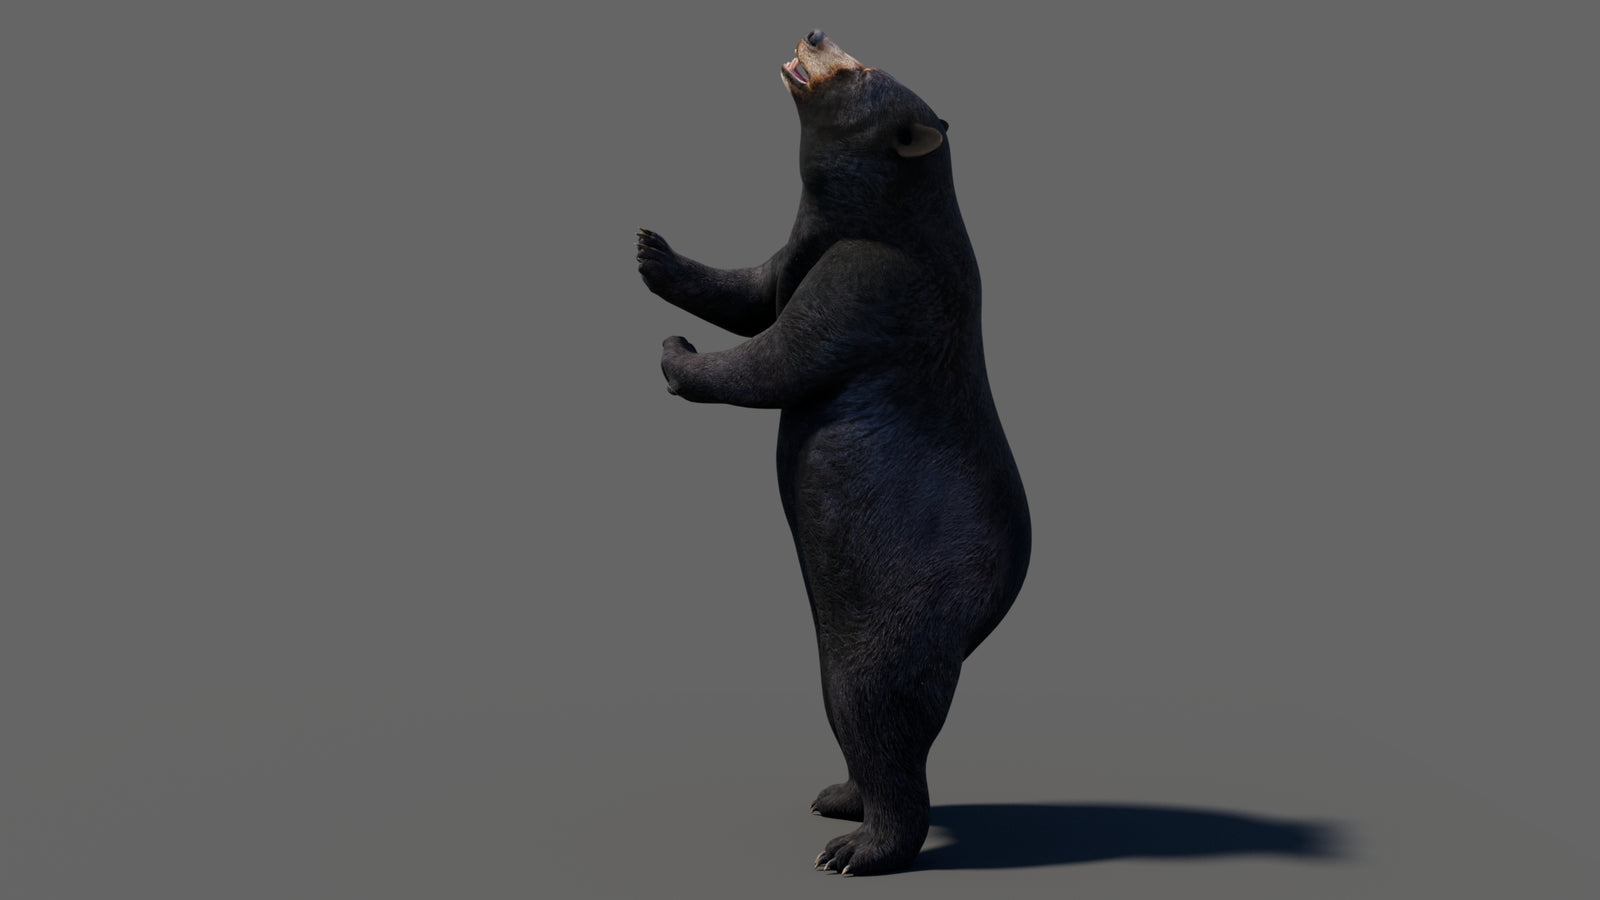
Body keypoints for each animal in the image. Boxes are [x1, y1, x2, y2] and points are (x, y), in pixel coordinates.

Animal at [636, 29, 1030, 876]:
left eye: (860, 71)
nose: (816, 33)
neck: (882, 212)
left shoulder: (874, 276)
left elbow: (782, 355)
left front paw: (677, 354)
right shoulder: (803, 247)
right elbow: (754, 288)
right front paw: (652, 251)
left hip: (899, 610)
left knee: (878, 709)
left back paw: (859, 848)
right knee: (854, 716)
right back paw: (837, 796)